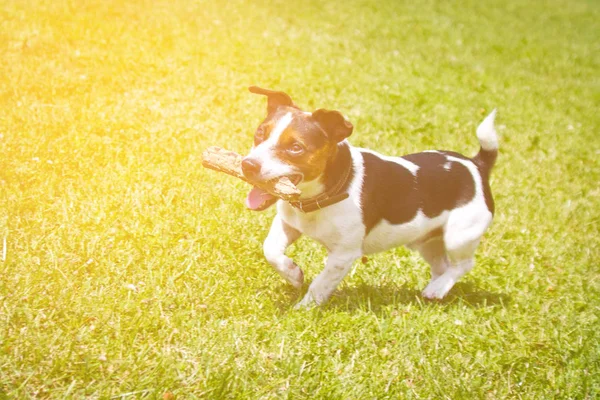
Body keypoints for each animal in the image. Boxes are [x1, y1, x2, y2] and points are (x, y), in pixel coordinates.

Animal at [239, 86, 496, 308]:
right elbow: (270, 249)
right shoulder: (288, 223)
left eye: (295, 147)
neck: (319, 197)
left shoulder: (343, 255)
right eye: (260, 133)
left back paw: (438, 288)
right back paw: (434, 290)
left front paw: (304, 308)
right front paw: (293, 274)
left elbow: (320, 284)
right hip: (428, 242)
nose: (247, 165)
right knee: (442, 267)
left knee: (463, 265)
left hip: (459, 236)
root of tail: (476, 165)